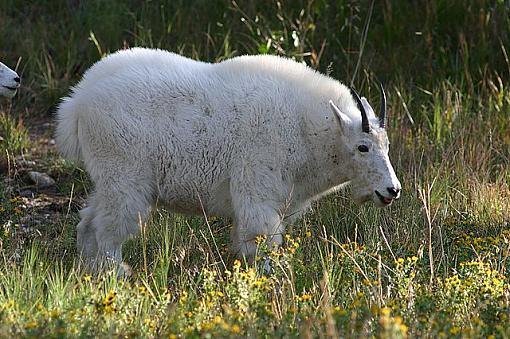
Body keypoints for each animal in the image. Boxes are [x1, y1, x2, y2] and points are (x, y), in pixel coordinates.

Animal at [55, 48, 402, 270]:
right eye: (362, 147)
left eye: (386, 145)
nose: (392, 190)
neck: (309, 130)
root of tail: (77, 102)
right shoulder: (258, 192)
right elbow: (260, 245)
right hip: (125, 177)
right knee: (109, 230)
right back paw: (116, 275)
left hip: (108, 178)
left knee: (88, 223)